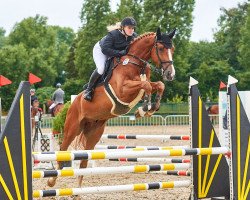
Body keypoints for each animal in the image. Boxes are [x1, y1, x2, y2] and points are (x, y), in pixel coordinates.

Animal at [47, 27, 176, 188]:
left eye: (173, 49)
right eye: (160, 48)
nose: (171, 74)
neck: (135, 63)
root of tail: (73, 103)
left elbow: (158, 85)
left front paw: (150, 108)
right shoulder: (123, 90)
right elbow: (145, 85)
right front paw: (145, 108)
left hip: (94, 133)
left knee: (84, 159)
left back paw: (79, 187)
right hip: (72, 129)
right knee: (63, 150)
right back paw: (51, 181)